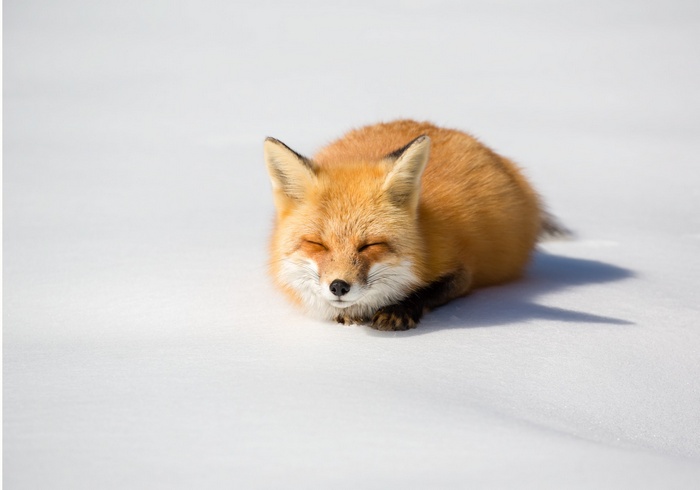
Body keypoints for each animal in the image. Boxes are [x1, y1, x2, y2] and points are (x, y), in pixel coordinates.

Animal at [263, 119, 565, 331]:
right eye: (317, 244)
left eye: (370, 245)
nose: (339, 286)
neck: (423, 233)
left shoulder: (462, 271)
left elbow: (428, 291)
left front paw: (398, 310)